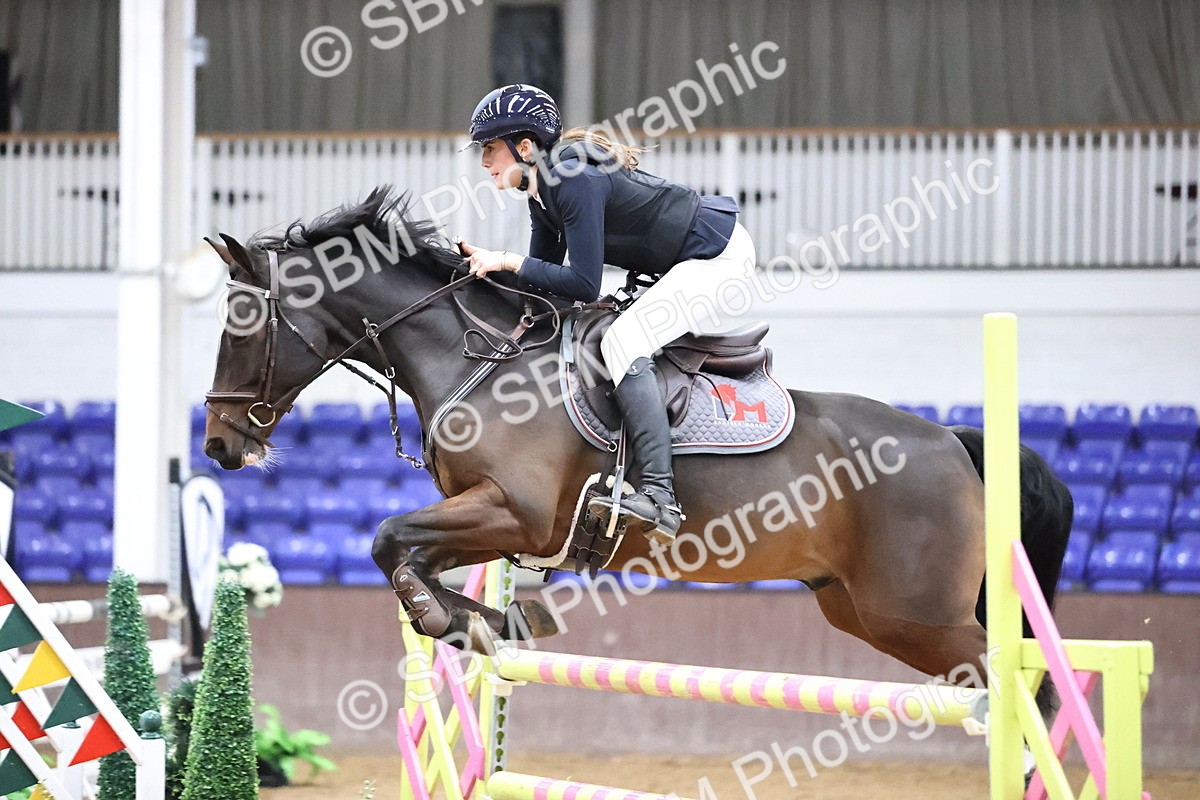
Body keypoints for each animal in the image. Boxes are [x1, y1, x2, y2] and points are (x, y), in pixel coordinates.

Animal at [201, 188, 1071, 709]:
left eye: (241, 325)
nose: (217, 443)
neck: (479, 358)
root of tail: (954, 441)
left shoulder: (517, 514)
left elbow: (389, 541)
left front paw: (462, 620)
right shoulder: (491, 520)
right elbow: (408, 557)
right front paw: (493, 621)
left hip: (915, 613)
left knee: (1027, 686)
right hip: (863, 608)